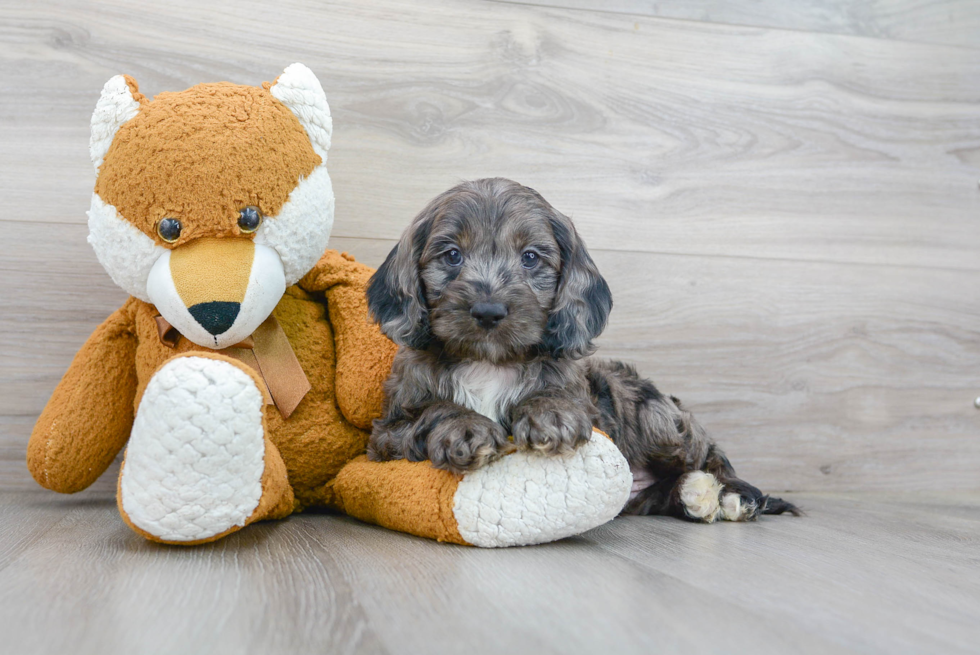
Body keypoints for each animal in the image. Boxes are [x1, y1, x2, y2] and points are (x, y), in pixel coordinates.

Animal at [364, 178, 800, 524]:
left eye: (530, 257)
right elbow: (434, 410)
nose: (488, 310)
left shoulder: (587, 401)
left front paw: (550, 413)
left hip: (655, 417)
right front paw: (465, 427)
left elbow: (558, 395)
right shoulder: (387, 434)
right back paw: (696, 495)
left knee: (708, 452)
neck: (490, 361)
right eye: (452, 255)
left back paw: (734, 495)